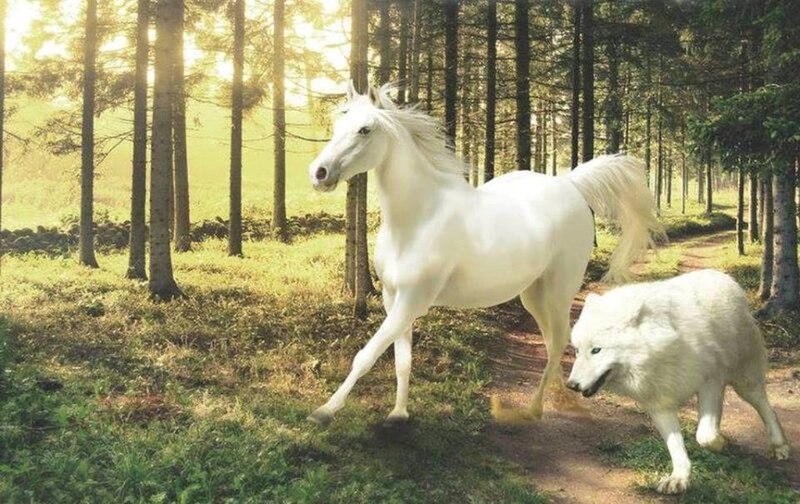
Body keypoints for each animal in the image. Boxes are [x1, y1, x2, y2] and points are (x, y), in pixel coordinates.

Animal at [306, 83, 663, 427]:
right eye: (338, 125)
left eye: (365, 129)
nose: (319, 173)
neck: (419, 217)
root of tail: (572, 185)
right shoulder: (392, 299)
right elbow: (402, 361)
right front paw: (398, 415)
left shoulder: (412, 300)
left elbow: (366, 355)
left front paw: (324, 412)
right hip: (533, 294)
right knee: (552, 342)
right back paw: (559, 398)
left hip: (559, 289)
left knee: (561, 342)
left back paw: (536, 409)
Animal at [566, 269, 790, 494]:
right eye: (577, 350)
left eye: (596, 350)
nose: (571, 385)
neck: (660, 350)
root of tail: (720, 275)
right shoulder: (659, 405)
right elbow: (676, 446)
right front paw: (679, 478)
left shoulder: (711, 382)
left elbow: (704, 436)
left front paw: (721, 443)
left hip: (745, 381)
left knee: (766, 407)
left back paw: (779, 445)